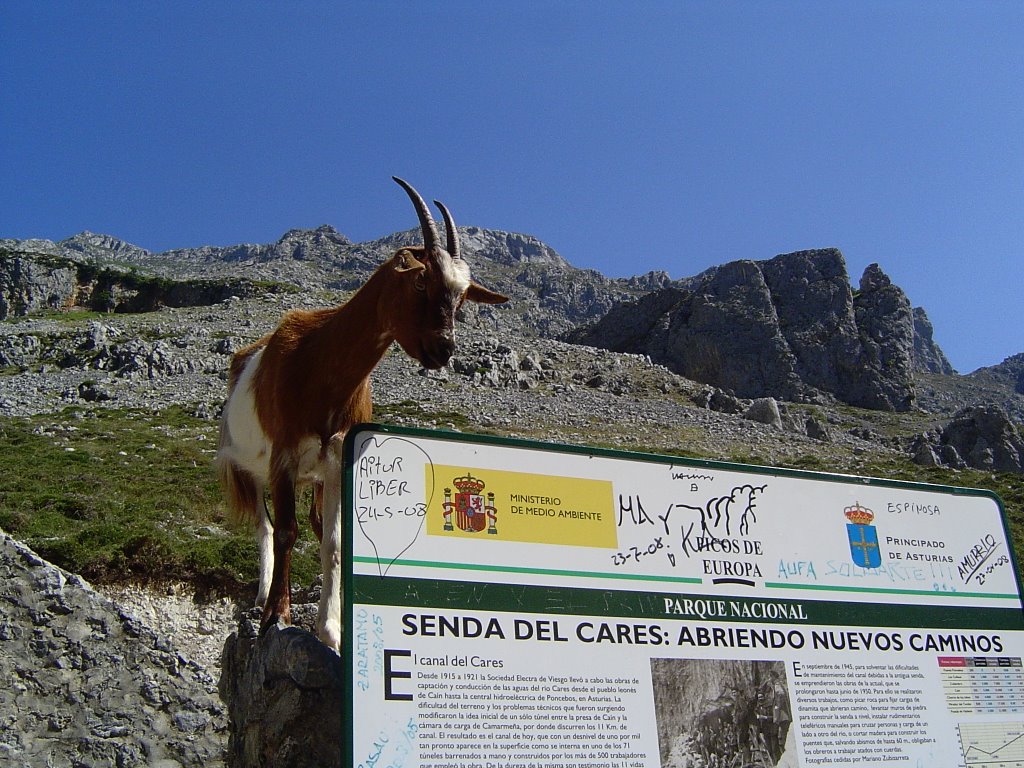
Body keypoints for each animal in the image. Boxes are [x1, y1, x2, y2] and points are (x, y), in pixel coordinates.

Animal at [217, 179, 507, 651]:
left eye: (463, 296)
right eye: (422, 280)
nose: (443, 349)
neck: (318, 362)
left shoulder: (337, 460)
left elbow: (333, 543)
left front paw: (331, 630)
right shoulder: (284, 455)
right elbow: (286, 532)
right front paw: (276, 616)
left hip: (313, 477)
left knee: (313, 525)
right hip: (248, 466)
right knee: (265, 526)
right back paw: (261, 596)